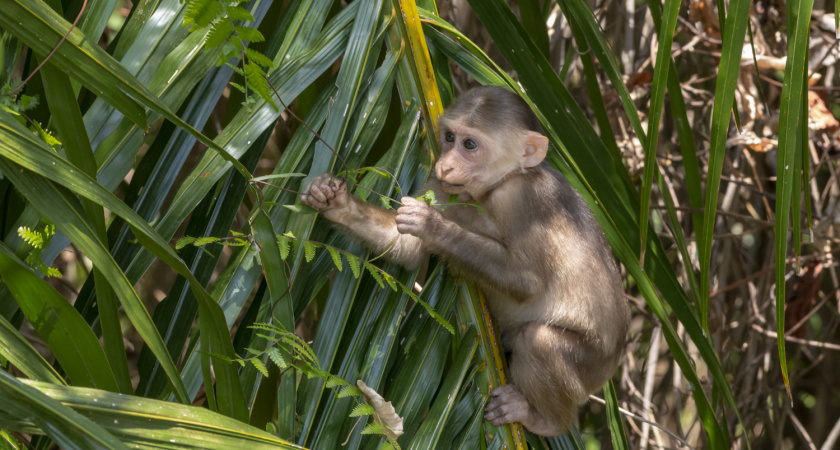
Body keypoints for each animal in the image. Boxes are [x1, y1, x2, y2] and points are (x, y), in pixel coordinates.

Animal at [298, 85, 628, 436]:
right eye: (449, 137)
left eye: (470, 145)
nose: (445, 165)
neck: (492, 189)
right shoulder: (443, 188)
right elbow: (407, 249)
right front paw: (335, 201)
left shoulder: (524, 198)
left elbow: (528, 281)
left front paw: (433, 225)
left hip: (590, 366)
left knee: (539, 341)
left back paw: (546, 421)